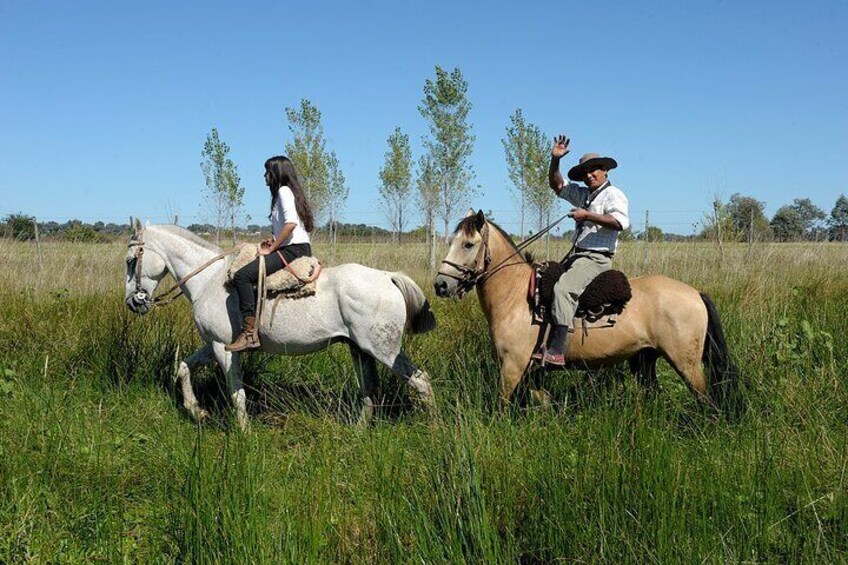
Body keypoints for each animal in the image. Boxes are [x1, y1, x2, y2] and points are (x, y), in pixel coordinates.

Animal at [434, 210, 740, 410]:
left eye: (469, 244)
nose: (441, 284)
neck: (517, 296)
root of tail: (695, 293)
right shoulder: (531, 370)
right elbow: (544, 401)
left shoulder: (512, 365)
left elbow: (502, 406)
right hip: (645, 360)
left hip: (687, 364)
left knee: (705, 400)